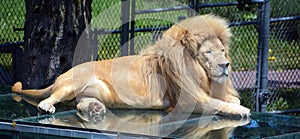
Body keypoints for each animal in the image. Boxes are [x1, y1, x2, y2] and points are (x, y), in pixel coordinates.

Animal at [11, 14, 251, 118]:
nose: (226, 65)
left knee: (80, 104)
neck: (203, 75)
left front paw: (236, 104)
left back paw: (95, 108)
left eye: (222, 51)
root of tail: (61, 76)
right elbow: (218, 104)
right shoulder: (188, 100)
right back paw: (47, 106)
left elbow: (231, 99)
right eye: (208, 53)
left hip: (90, 92)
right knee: (50, 98)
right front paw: (241, 110)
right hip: (72, 84)